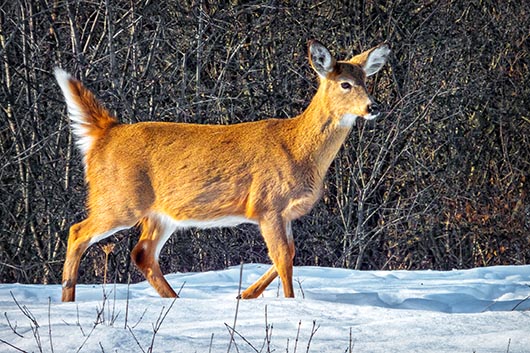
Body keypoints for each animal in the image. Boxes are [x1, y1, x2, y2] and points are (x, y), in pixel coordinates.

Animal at [55, 40, 390, 302]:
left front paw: (245, 295)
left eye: (366, 81)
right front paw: (290, 303)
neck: (297, 148)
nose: (373, 107)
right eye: (345, 84)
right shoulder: (268, 204)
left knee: (142, 253)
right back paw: (67, 298)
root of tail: (107, 132)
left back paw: (174, 299)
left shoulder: (285, 213)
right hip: (118, 199)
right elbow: (283, 258)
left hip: (161, 213)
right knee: (77, 231)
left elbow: (290, 253)